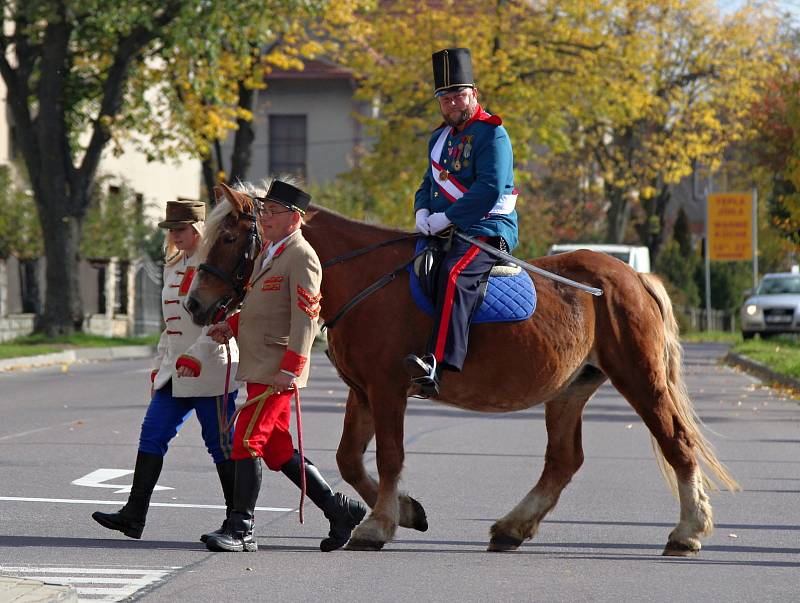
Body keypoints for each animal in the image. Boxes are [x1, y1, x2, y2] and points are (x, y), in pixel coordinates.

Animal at [188, 183, 736, 556]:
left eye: (230, 236)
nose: (196, 304)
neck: (363, 276)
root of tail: (633, 276)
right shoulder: (362, 390)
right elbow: (348, 458)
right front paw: (405, 511)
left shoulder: (388, 388)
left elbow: (389, 455)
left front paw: (378, 524)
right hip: (570, 390)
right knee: (563, 461)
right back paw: (513, 527)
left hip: (640, 378)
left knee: (675, 441)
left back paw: (688, 531)